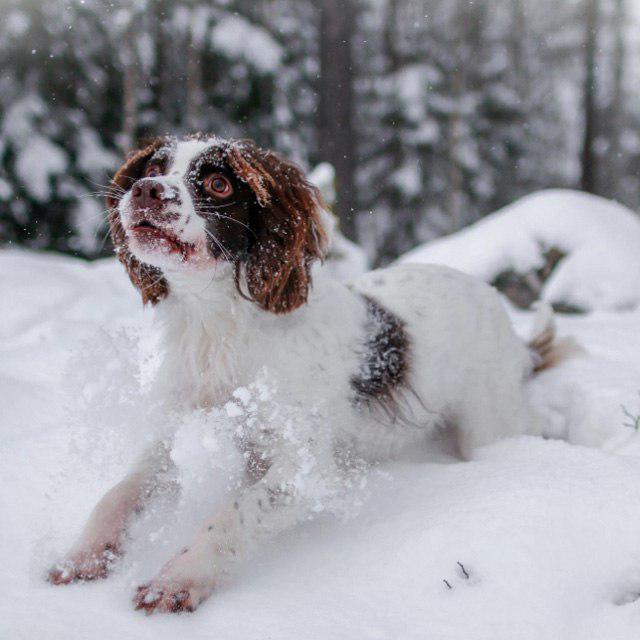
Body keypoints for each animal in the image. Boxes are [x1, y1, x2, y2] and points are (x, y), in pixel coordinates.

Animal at [48, 136, 560, 616]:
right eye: (153, 167)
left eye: (218, 183)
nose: (146, 190)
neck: (220, 325)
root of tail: (501, 311)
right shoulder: (179, 432)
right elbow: (119, 492)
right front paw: (84, 554)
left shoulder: (304, 468)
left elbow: (232, 513)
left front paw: (180, 578)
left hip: (490, 423)